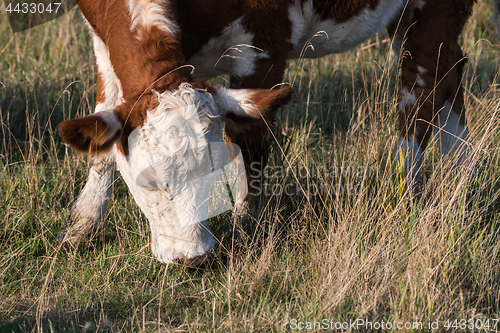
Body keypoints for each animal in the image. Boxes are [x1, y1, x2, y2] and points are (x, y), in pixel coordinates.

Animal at [58, 0, 492, 264]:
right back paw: (461, 177)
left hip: (431, 13)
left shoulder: (265, 44)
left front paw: (244, 228)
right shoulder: (103, 47)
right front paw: (81, 227)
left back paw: (406, 189)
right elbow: (101, 140)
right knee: (450, 71)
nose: (193, 258)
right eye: (148, 183)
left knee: (421, 91)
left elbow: (252, 145)